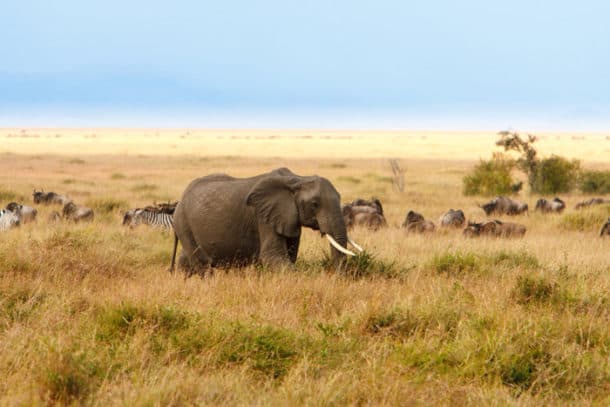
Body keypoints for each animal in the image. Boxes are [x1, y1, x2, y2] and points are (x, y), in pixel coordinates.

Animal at [170, 167, 360, 276]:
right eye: (315, 204)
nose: (336, 278)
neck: (298, 179)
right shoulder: (264, 217)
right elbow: (273, 256)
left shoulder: (288, 217)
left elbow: (290, 255)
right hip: (183, 222)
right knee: (202, 263)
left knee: (186, 259)